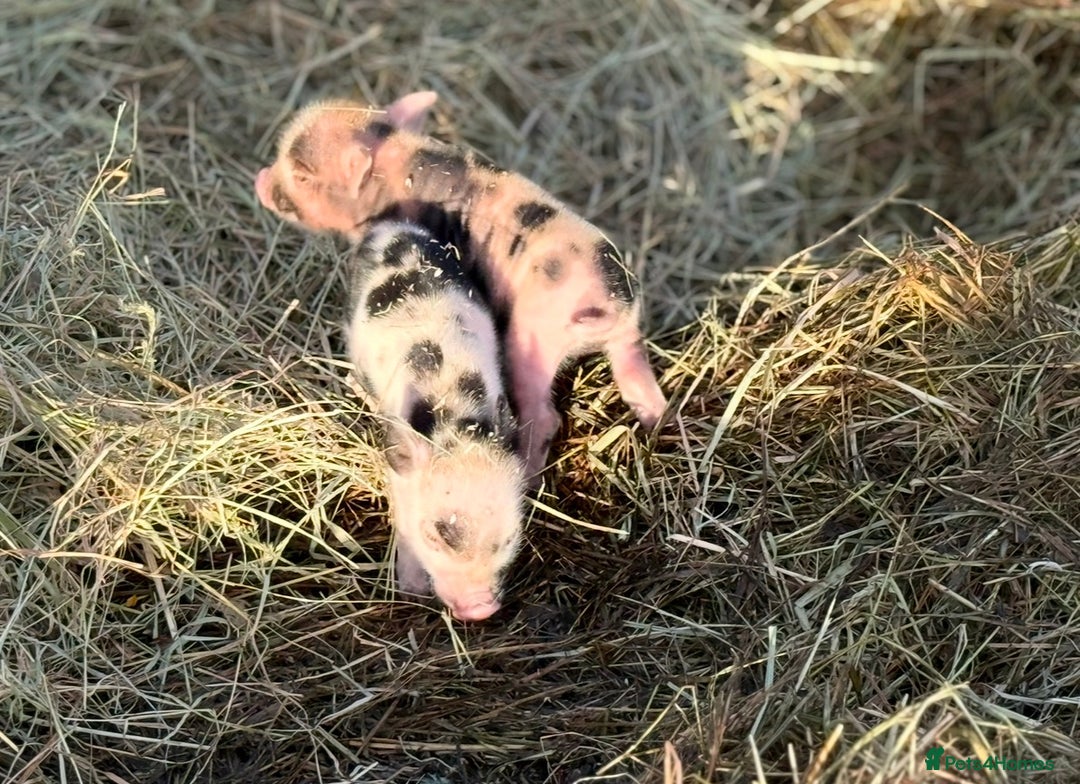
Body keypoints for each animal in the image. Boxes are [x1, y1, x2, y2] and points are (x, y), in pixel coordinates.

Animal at [255, 92, 667, 480]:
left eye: (303, 175)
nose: (260, 178)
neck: (396, 165)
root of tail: (611, 304)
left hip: (533, 341)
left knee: (545, 415)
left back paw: (528, 475)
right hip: (626, 341)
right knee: (641, 383)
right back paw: (657, 424)